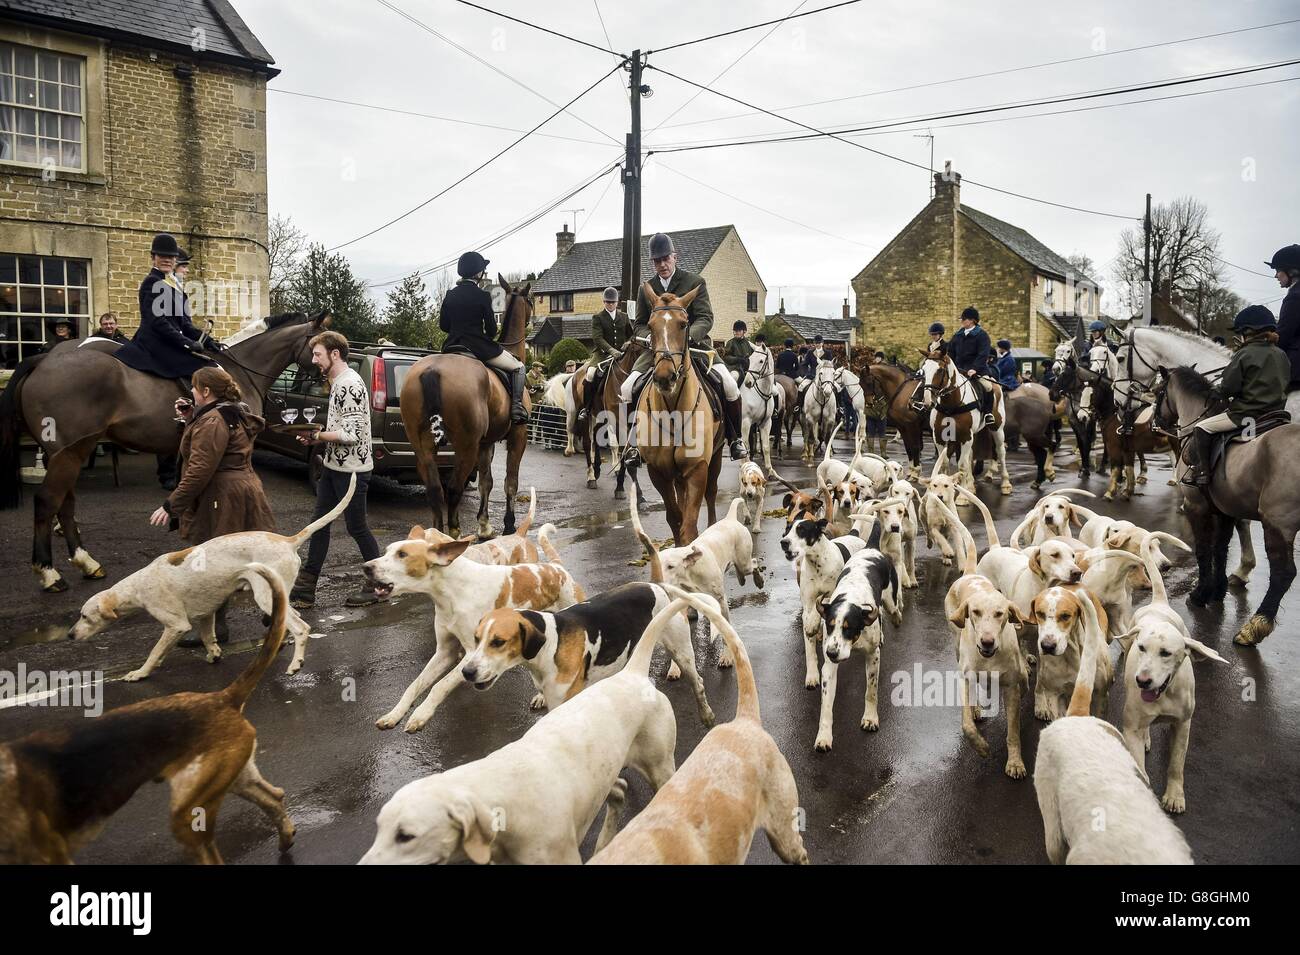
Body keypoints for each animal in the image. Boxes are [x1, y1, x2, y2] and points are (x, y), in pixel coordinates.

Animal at [0, 311, 325, 589]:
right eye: (320, 342)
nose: (326, 378)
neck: (240, 372)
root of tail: (44, 359)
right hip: (68, 453)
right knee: (47, 501)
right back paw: (49, 572)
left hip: (67, 453)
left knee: (65, 503)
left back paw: (85, 562)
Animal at [400, 274, 533, 537]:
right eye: (532, 301)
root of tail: (433, 369)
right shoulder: (518, 436)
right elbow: (510, 482)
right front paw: (509, 524)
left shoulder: (486, 443)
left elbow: (486, 482)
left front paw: (485, 525)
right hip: (465, 446)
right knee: (453, 489)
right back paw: (455, 534)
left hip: (422, 445)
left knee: (434, 489)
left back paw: (438, 535)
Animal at [637, 281, 728, 545]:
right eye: (650, 326)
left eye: (684, 324)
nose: (665, 377)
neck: (673, 410)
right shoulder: (658, 471)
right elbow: (675, 518)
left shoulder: (697, 468)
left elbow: (689, 525)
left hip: (715, 457)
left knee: (711, 495)